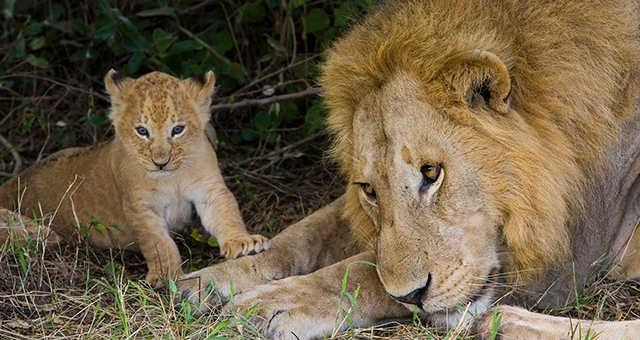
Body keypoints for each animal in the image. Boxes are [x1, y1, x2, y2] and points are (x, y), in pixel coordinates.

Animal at [178, 0, 640, 338]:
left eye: (432, 172)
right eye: (368, 190)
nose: (412, 296)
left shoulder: (570, 256)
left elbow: (361, 271)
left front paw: (274, 302)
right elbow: (304, 234)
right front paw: (207, 282)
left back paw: (508, 324)